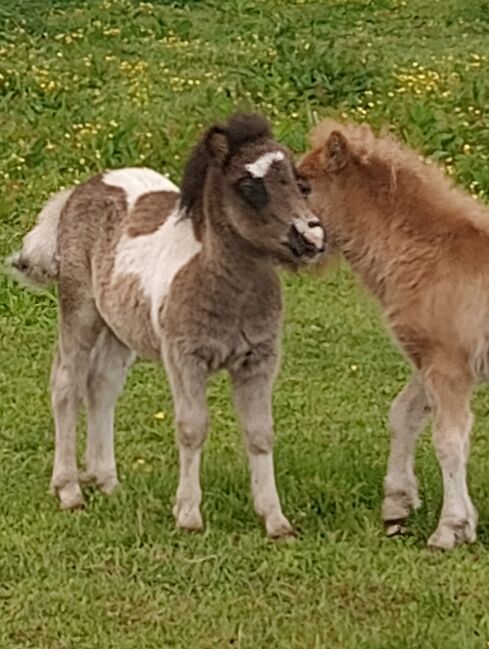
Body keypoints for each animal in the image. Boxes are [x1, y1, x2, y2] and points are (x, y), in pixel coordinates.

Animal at [10, 115, 324, 536]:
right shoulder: (185, 358)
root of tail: (82, 187)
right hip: (81, 312)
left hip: (118, 329)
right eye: (250, 186)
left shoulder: (259, 360)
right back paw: (69, 489)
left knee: (102, 386)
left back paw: (107, 482)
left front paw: (275, 520)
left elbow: (260, 433)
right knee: (66, 384)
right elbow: (192, 428)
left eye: (301, 184)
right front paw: (188, 514)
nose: (311, 237)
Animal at [300, 117, 486, 548]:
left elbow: (449, 440)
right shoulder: (427, 359)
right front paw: (398, 507)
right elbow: (404, 415)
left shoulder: (448, 364)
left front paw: (449, 529)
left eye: (303, 186)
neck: (432, 253)